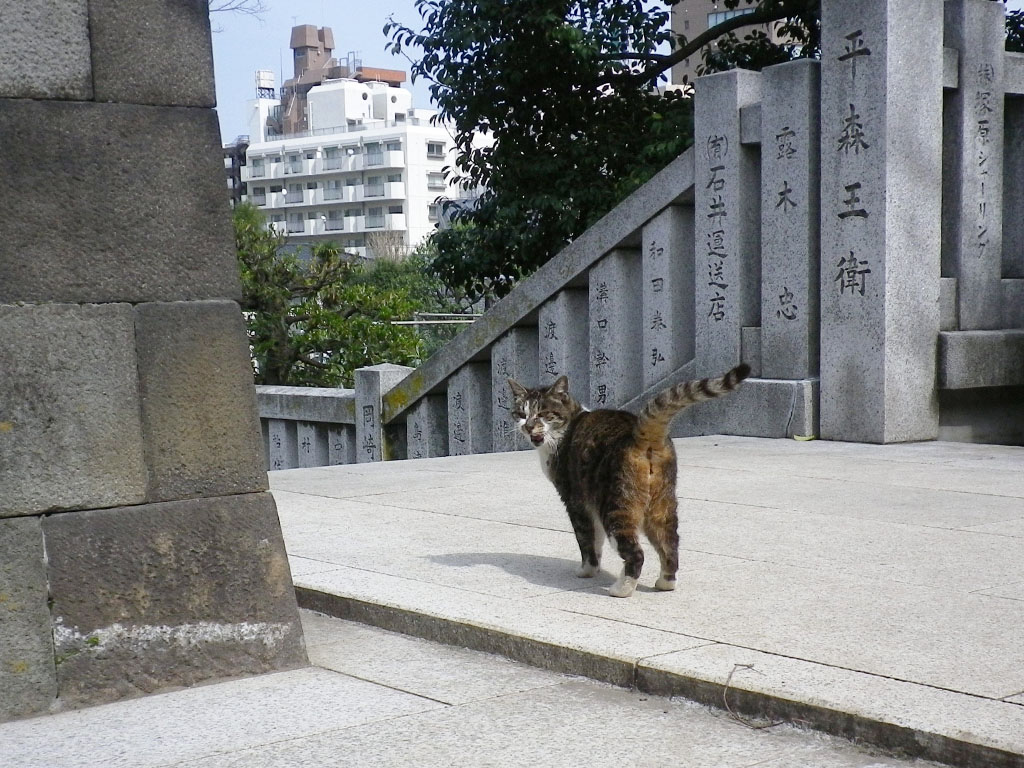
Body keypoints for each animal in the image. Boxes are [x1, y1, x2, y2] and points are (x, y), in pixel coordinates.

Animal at [507, 366, 749, 602]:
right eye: (521, 414)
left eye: (543, 413)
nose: (528, 426)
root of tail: (641, 435)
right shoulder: (590, 503)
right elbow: (596, 540)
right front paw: (595, 568)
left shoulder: (576, 500)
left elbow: (586, 540)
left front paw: (587, 570)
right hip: (662, 504)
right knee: (670, 543)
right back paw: (665, 583)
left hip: (616, 506)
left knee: (636, 553)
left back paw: (621, 589)